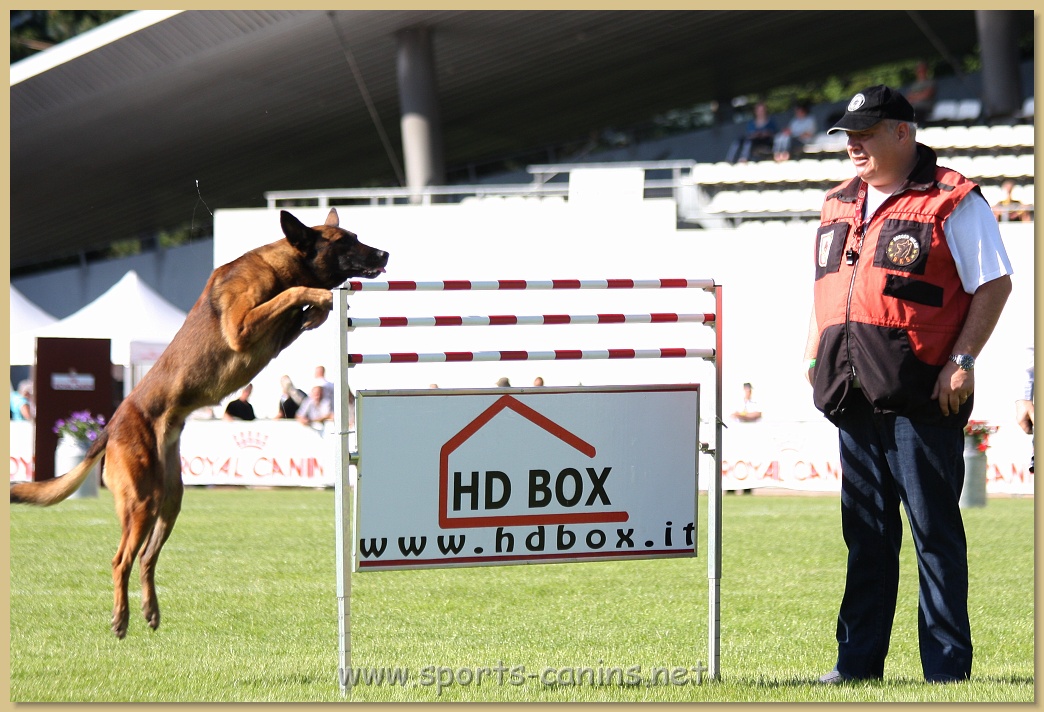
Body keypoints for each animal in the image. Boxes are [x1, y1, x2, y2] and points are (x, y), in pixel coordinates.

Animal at [11, 208, 388, 638]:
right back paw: (121, 617)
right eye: (345, 241)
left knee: (146, 558)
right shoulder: (242, 327)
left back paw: (150, 610)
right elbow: (293, 294)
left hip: (169, 499)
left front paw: (319, 309)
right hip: (140, 501)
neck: (283, 265)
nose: (385, 254)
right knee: (121, 559)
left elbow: (300, 306)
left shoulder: (276, 334)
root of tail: (111, 425)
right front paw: (321, 297)